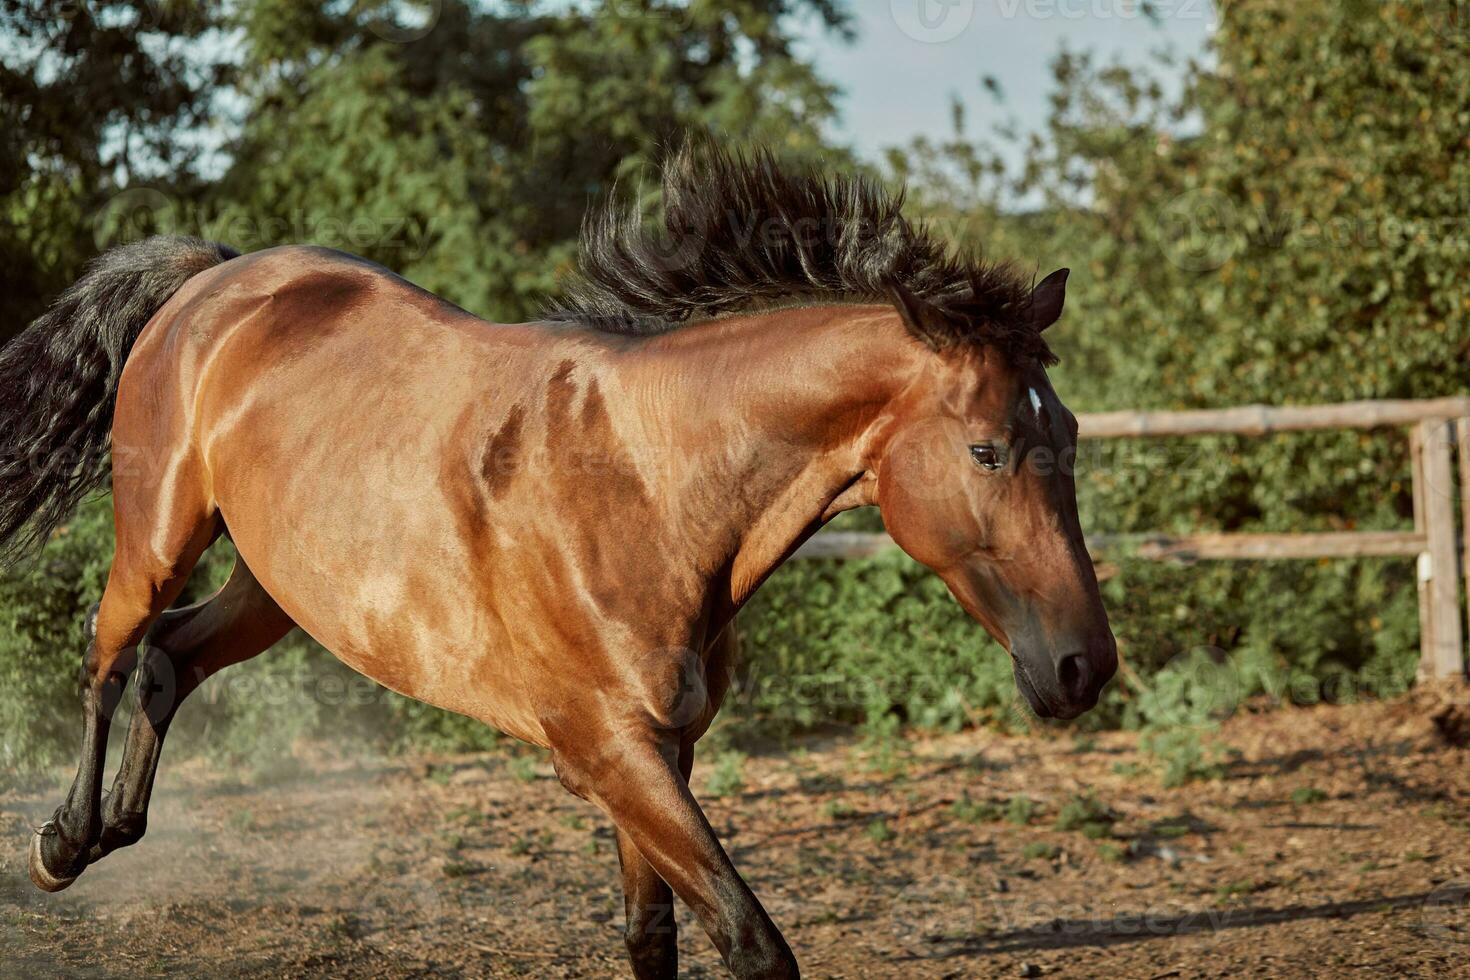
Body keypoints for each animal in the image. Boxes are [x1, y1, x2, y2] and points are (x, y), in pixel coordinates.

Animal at [5, 147, 1111, 980]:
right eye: (988, 450)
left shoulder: (665, 752)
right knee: (110, 657)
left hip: (279, 585)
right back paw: (62, 845)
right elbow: (752, 944)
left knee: (171, 657)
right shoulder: (608, 751)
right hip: (160, 535)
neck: (644, 485)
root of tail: (214, 279)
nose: (1084, 668)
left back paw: (117, 826)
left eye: (1069, 431)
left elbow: (652, 940)